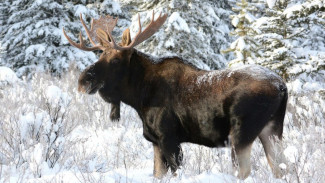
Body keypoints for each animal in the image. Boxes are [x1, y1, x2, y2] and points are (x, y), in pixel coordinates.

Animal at [62, 11, 286, 179]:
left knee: (245, 171)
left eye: (116, 60)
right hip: (272, 130)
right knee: (280, 169)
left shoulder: (169, 138)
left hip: (241, 133)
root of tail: (282, 87)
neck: (139, 97)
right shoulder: (155, 141)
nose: (83, 80)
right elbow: (157, 174)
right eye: (100, 55)